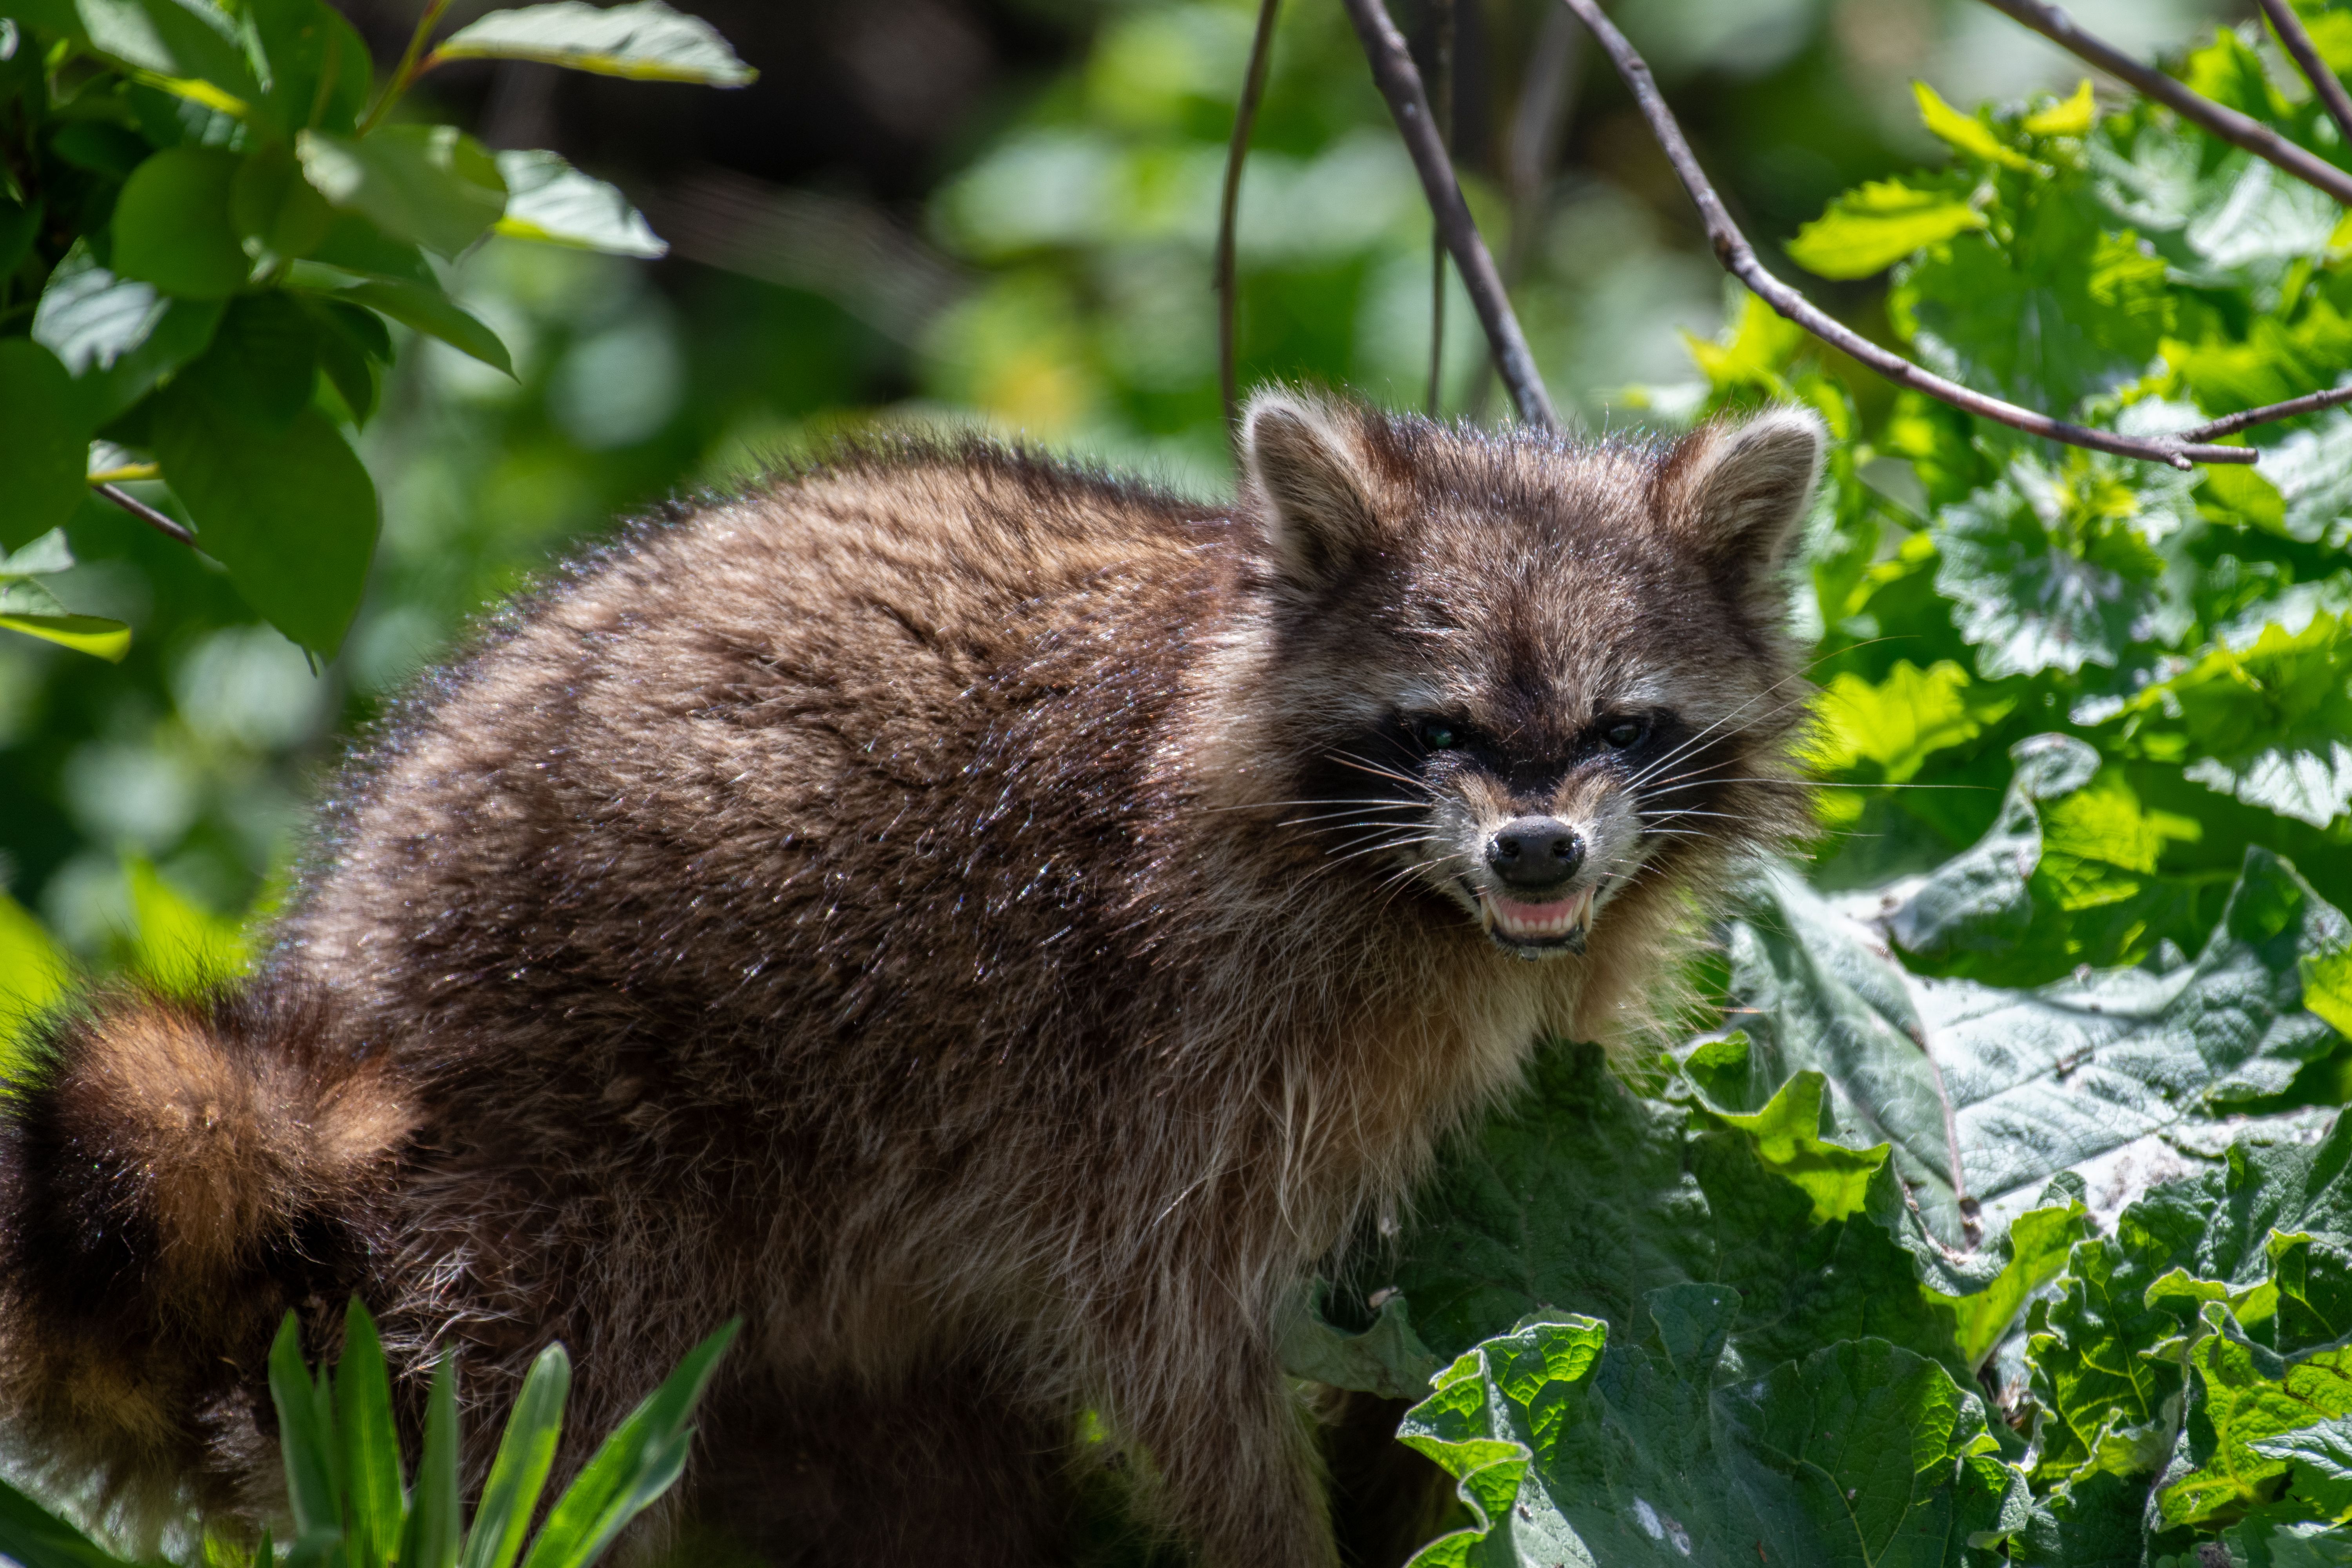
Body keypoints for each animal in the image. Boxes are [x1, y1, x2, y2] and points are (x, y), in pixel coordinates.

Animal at [0, 390, 1823, 1567]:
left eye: (1621, 725)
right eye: (1435, 725)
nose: (1539, 853)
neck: (1428, 901)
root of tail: (317, 1017)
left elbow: (1464, 1295)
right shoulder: (1171, 1035)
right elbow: (1171, 1340)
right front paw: (1278, 1537)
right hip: (543, 1175)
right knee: (526, 1451)